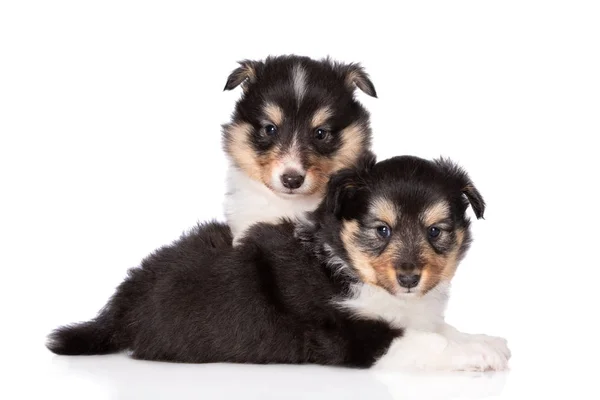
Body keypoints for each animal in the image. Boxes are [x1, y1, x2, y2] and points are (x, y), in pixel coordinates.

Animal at [45, 154, 510, 372]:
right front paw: (478, 356)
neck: (347, 263)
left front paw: (484, 341)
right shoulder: (352, 336)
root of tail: (123, 302)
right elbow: (428, 342)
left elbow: (441, 328)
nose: (410, 278)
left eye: (436, 231)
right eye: (381, 230)